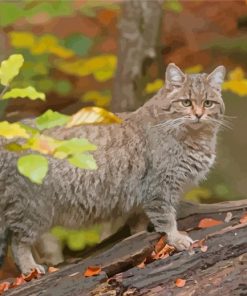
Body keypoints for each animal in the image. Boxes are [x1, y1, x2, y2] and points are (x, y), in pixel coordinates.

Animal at [0, 63, 226, 274]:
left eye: (208, 103)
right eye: (186, 102)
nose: (199, 115)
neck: (195, 138)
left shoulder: (142, 198)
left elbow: (139, 225)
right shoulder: (160, 189)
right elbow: (166, 219)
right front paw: (176, 239)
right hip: (33, 210)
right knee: (18, 242)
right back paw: (29, 268)